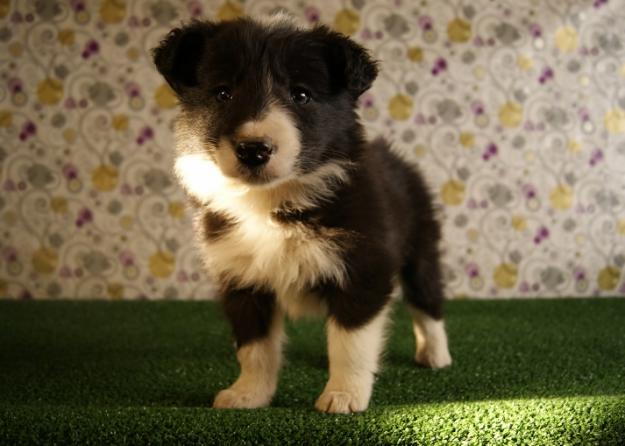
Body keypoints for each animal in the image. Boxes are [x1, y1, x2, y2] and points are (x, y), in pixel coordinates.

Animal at [154, 13, 450, 414]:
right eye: (223, 93)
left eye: (302, 94)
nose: (254, 149)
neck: (271, 201)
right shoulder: (240, 276)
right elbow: (255, 347)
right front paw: (248, 394)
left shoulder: (362, 266)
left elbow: (351, 343)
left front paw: (343, 395)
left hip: (421, 243)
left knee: (426, 299)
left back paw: (435, 354)